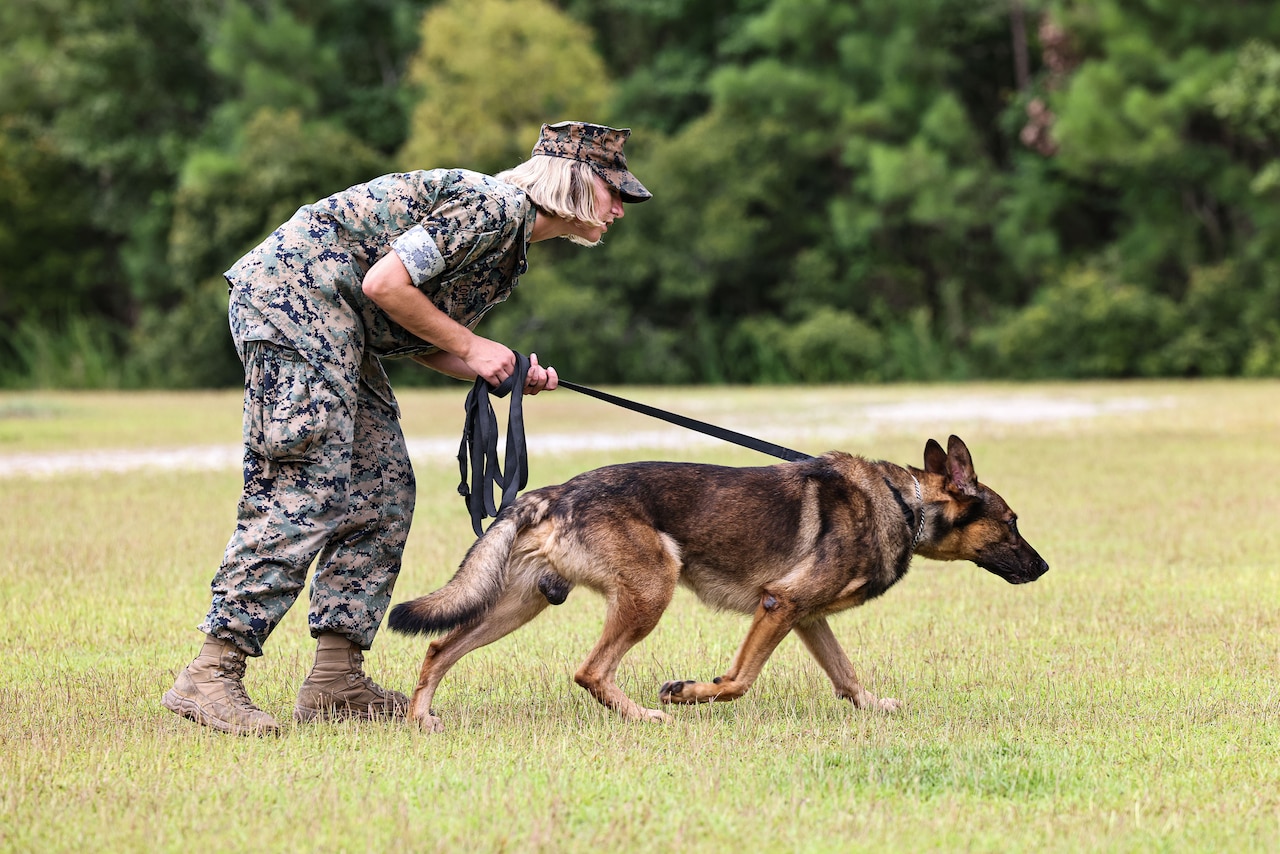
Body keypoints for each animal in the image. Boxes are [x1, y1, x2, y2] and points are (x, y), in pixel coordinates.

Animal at [389, 437, 1049, 732]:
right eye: (1013, 522)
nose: (1044, 569)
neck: (904, 502)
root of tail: (556, 491)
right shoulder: (780, 605)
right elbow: (738, 681)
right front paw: (687, 691)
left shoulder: (807, 617)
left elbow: (847, 677)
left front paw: (874, 706)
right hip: (652, 589)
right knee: (590, 671)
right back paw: (645, 716)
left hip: (518, 605)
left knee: (439, 647)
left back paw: (422, 719)